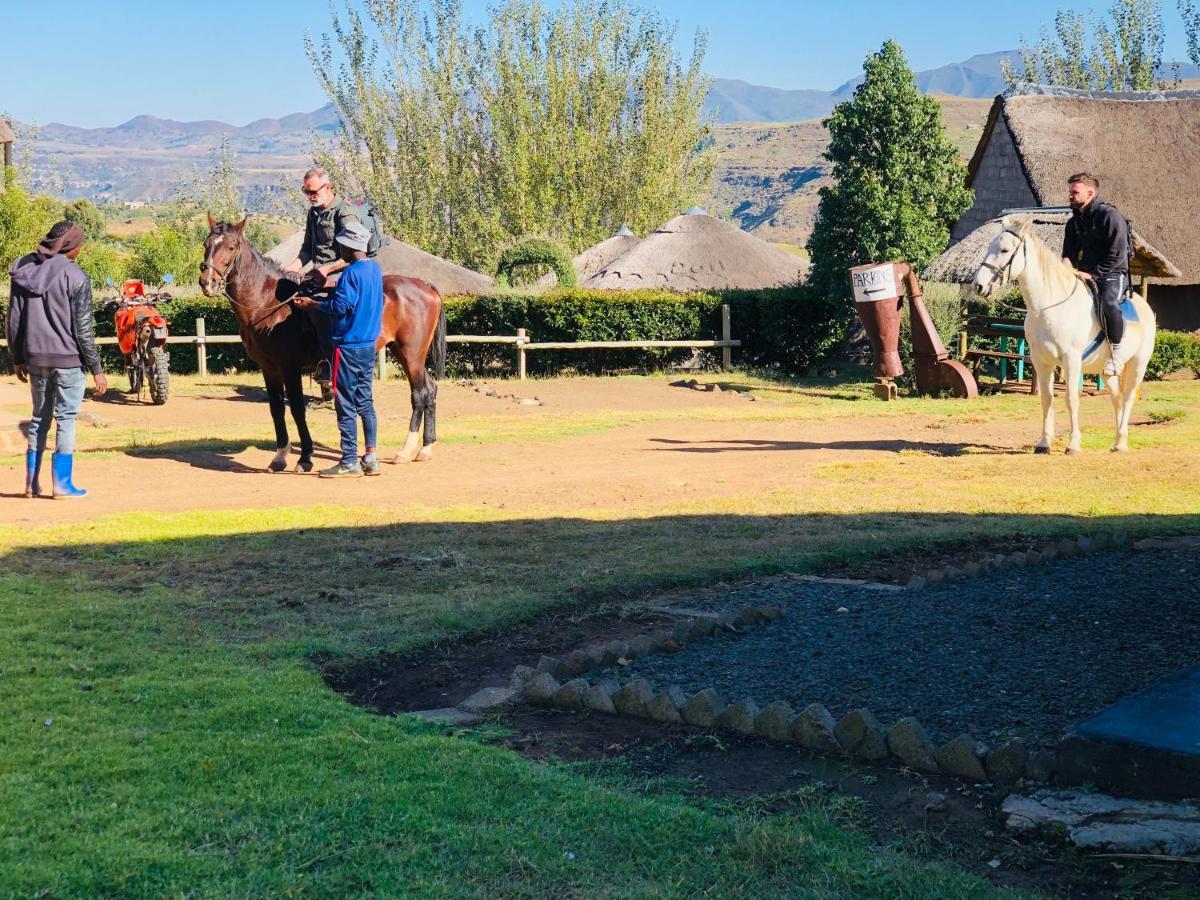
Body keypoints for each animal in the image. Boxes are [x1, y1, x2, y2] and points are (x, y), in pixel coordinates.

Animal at [199, 217, 448, 472]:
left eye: (231, 247)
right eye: (206, 244)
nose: (207, 282)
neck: (267, 304)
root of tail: (424, 285)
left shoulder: (290, 367)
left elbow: (297, 408)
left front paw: (305, 458)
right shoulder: (269, 368)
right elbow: (276, 408)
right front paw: (280, 456)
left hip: (411, 354)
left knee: (419, 393)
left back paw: (406, 450)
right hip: (403, 352)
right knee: (430, 389)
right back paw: (425, 448)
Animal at [974, 217, 1152, 453]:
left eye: (1004, 250)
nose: (978, 285)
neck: (1048, 306)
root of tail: (1145, 307)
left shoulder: (1071, 360)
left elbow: (1071, 399)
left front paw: (1073, 444)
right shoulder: (1042, 361)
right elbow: (1047, 399)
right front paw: (1043, 443)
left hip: (1138, 364)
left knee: (1129, 397)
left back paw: (1121, 443)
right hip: (1106, 371)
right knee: (1117, 399)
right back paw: (1117, 441)